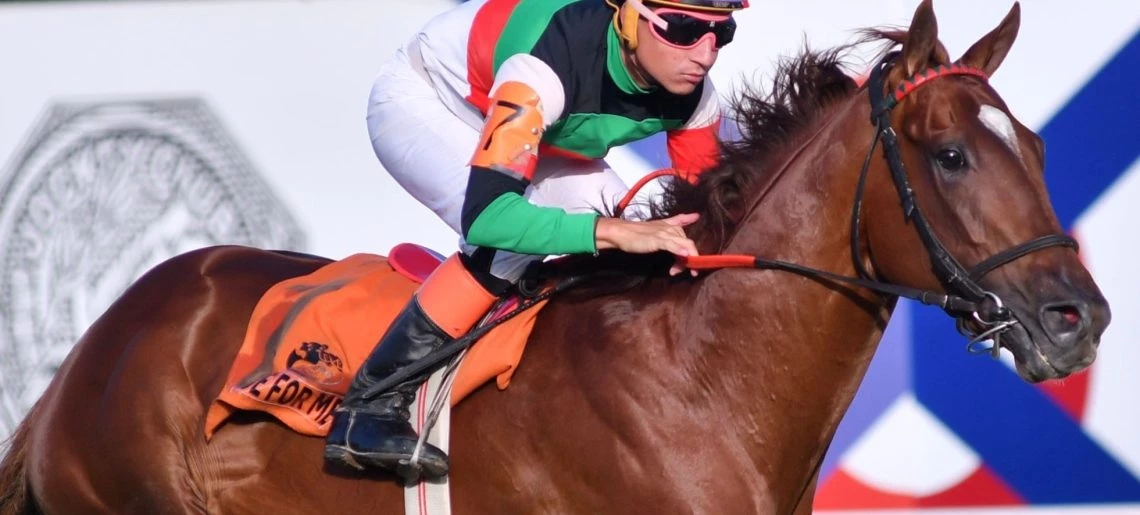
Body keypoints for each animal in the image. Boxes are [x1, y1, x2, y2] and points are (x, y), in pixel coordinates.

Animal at [0, 1, 1110, 513]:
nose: (1080, 318)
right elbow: (493, 205)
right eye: (952, 155)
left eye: (1039, 146)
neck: (695, 380)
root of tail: (80, 364)